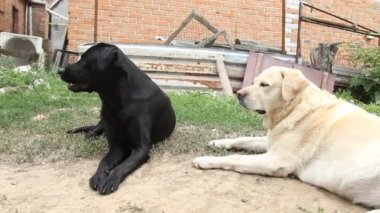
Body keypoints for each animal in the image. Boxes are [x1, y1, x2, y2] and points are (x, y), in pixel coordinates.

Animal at [58, 43, 177, 195]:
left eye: (84, 60)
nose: (59, 70)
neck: (116, 100)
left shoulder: (141, 148)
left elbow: (123, 166)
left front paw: (110, 180)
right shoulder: (117, 146)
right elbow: (103, 161)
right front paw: (98, 176)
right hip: (102, 119)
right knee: (95, 128)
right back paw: (90, 135)